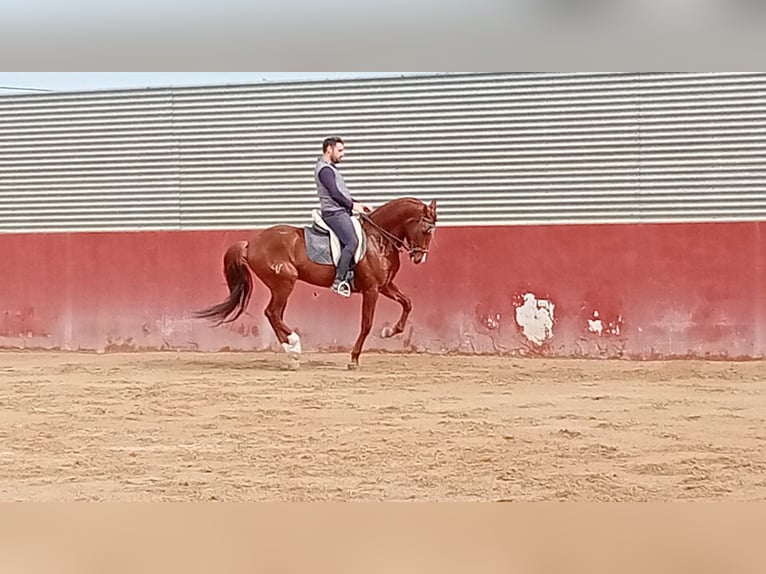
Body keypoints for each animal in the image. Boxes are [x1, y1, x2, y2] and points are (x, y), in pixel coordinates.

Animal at [194, 198, 438, 368]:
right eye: (426, 230)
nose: (420, 258)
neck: (378, 238)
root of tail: (251, 243)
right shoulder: (371, 290)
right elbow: (366, 324)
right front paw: (354, 359)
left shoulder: (384, 285)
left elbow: (407, 303)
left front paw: (390, 331)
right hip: (285, 283)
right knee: (272, 313)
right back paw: (294, 346)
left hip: (282, 285)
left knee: (273, 314)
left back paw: (291, 354)